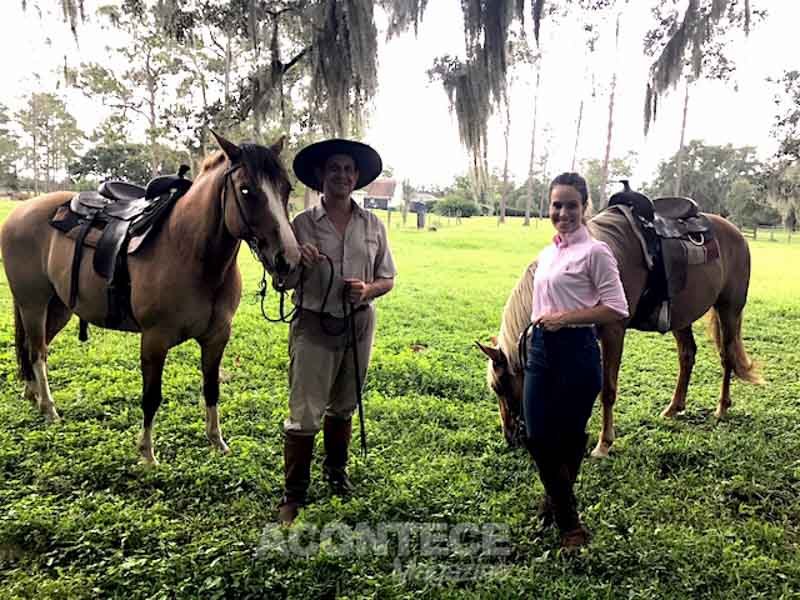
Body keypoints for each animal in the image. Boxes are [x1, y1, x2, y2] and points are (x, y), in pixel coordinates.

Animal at [1, 131, 302, 464]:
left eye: (286, 188)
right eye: (246, 190)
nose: (288, 260)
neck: (189, 251)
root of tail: (21, 212)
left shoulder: (217, 337)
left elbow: (211, 389)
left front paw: (216, 441)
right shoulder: (154, 340)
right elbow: (151, 396)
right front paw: (147, 453)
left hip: (58, 308)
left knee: (33, 349)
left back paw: (33, 396)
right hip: (33, 304)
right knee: (38, 353)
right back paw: (49, 408)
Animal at [482, 202, 764, 460]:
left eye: (500, 386)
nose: (510, 438)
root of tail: (737, 234)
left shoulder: (613, 331)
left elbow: (607, 390)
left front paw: (604, 444)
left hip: (729, 308)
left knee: (727, 356)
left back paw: (722, 408)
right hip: (681, 317)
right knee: (687, 355)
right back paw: (674, 408)